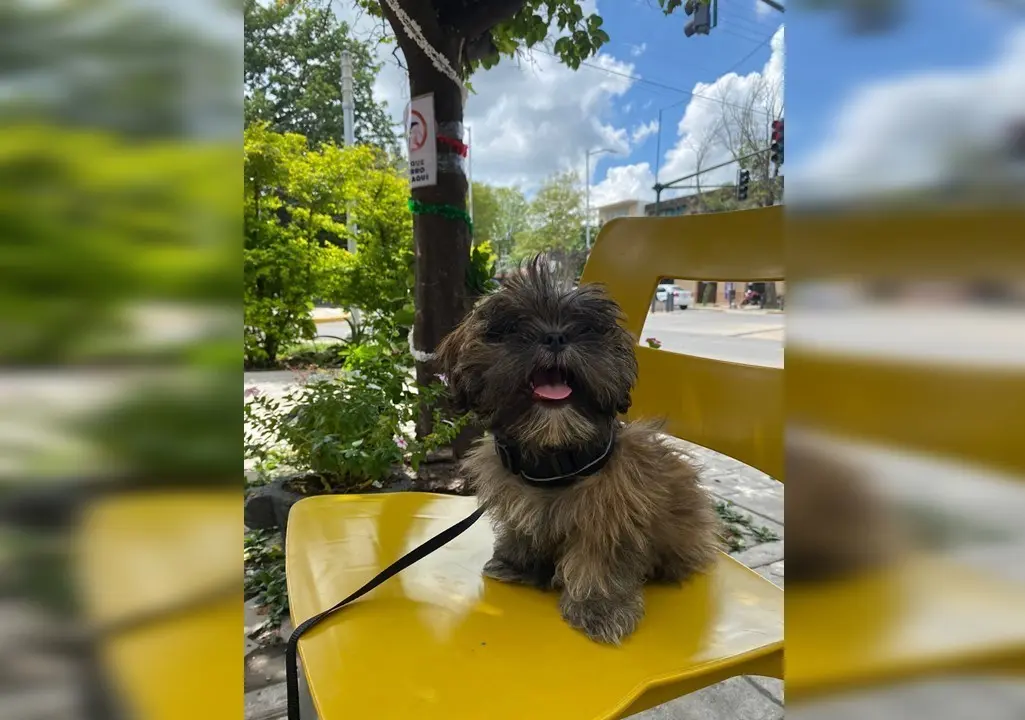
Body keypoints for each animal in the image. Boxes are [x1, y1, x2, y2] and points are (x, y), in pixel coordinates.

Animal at [434, 256, 721, 644]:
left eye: (585, 327)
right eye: (512, 326)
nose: (556, 335)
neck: (555, 457)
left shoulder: (612, 511)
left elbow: (598, 559)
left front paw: (600, 606)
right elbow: (524, 529)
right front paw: (517, 561)